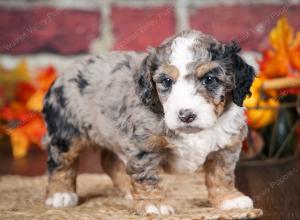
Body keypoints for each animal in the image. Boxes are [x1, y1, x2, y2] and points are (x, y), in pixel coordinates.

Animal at [43, 30, 255, 216]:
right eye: (166, 81)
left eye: (210, 79)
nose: (186, 115)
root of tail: (66, 71)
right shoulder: (144, 146)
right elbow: (148, 176)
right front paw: (154, 204)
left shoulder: (227, 146)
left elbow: (221, 174)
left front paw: (229, 199)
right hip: (66, 133)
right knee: (61, 162)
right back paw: (60, 194)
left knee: (110, 161)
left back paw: (128, 189)